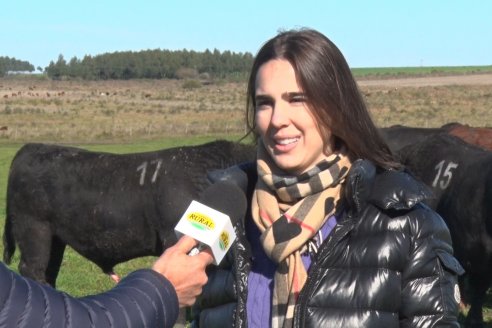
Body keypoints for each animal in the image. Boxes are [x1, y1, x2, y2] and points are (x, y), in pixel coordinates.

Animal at [0, 140, 254, 288]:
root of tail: (32, 147)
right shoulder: (175, 239)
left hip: (55, 238)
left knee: (49, 273)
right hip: (34, 230)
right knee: (33, 269)